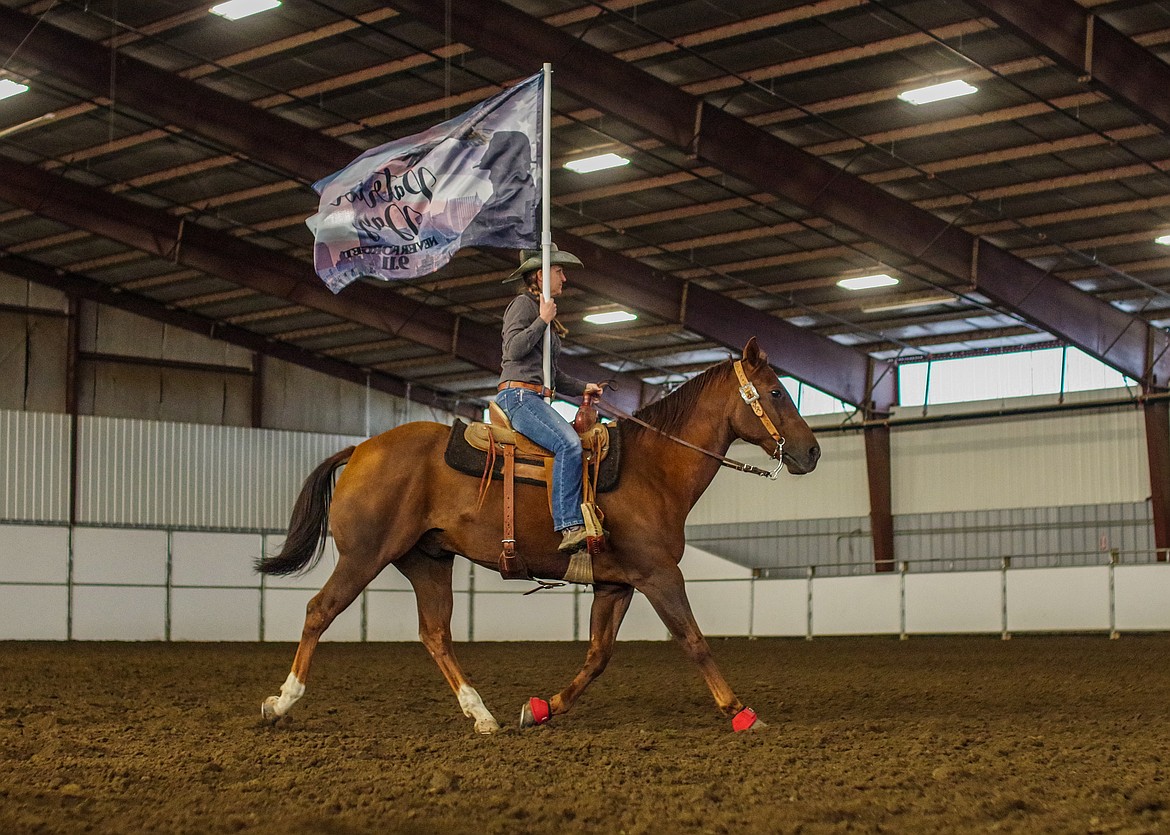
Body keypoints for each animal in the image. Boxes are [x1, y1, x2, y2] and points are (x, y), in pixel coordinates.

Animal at [256, 334, 823, 729]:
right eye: (776, 391)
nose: (813, 451)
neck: (651, 468)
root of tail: (360, 449)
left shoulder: (616, 584)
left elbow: (597, 655)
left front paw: (543, 708)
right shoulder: (660, 575)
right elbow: (694, 640)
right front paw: (741, 711)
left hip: (427, 561)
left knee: (435, 634)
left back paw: (482, 715)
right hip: (364, 556)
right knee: (320, 611)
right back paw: (281, 703)